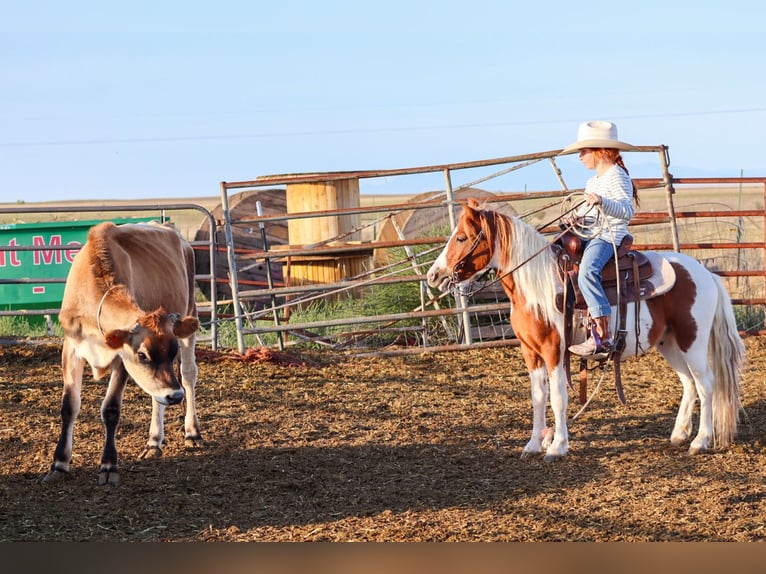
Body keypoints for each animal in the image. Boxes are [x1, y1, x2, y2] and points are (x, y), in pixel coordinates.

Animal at [426, 198, 745, 461]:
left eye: (462, 237)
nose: (433, 275)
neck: (536, 286)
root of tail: (706, 273)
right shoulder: (530, 352)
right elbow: (538, 397)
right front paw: (532, 445)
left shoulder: (554, 350)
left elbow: (557, 397)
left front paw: (557, 446)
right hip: (670, 344)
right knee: (689, 383)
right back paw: (679, 435)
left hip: (693, 340)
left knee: (705, 384)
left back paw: (700, 441)